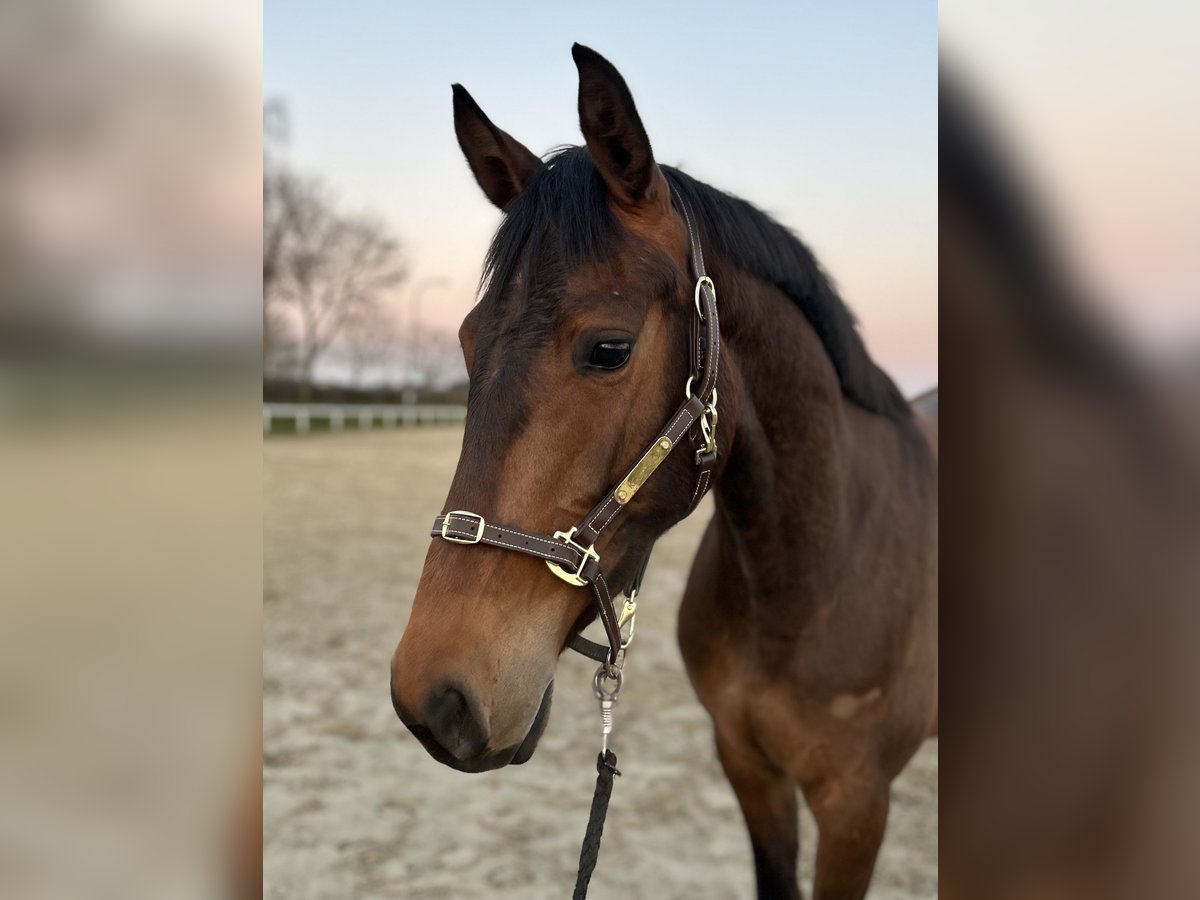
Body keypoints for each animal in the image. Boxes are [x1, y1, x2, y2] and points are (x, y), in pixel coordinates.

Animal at [393, 45, 936, 897]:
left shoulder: (857, 807)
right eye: (467, 340)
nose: (434, 698)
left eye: (609, 348)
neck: (811, 580)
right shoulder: (749, 768)